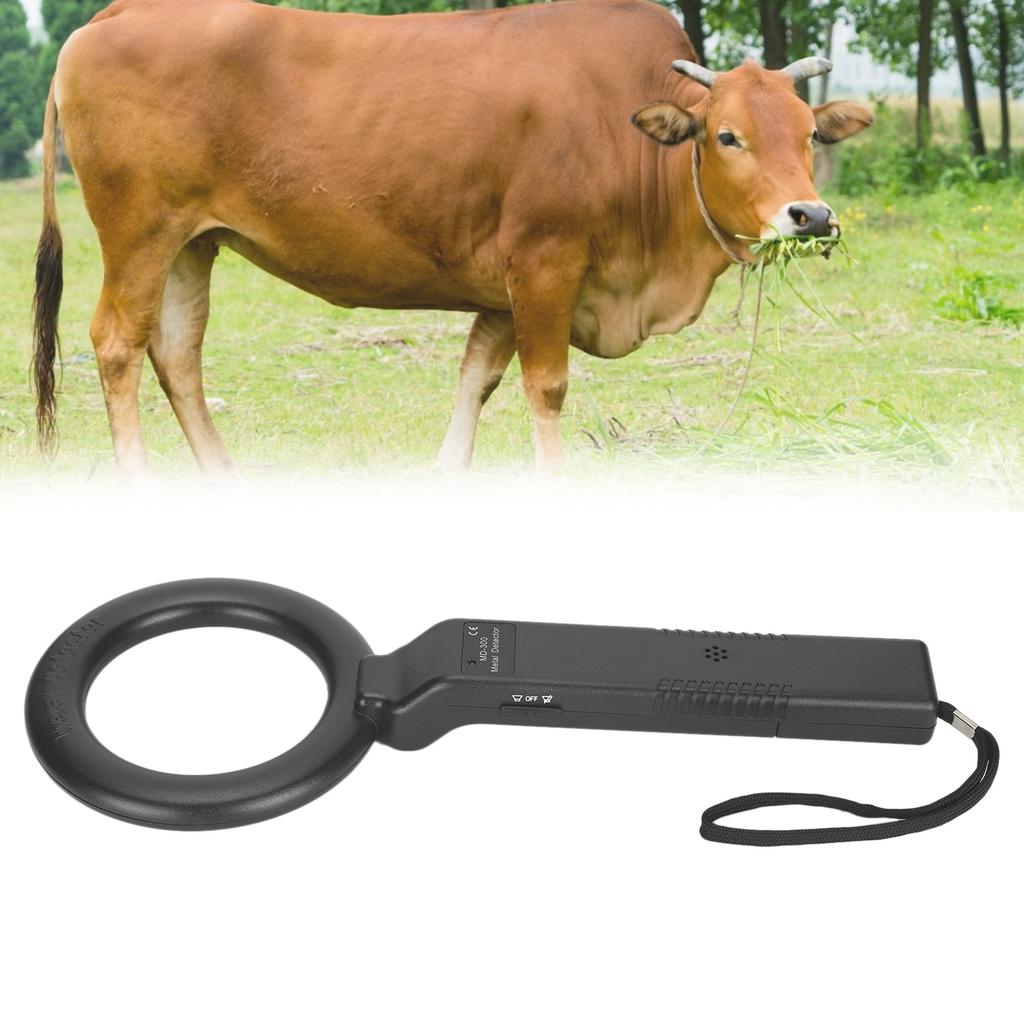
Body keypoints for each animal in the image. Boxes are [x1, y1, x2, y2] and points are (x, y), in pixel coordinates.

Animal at [32, 0, 872, 475]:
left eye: (808, 133)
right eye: (727, 136)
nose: (810, 216)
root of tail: (116, 13)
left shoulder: (503, 286)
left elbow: (477, 378)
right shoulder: (544, 260)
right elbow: (545, 387)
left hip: (190, 244)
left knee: (175, 351)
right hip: (138, 233)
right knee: (117, 343)